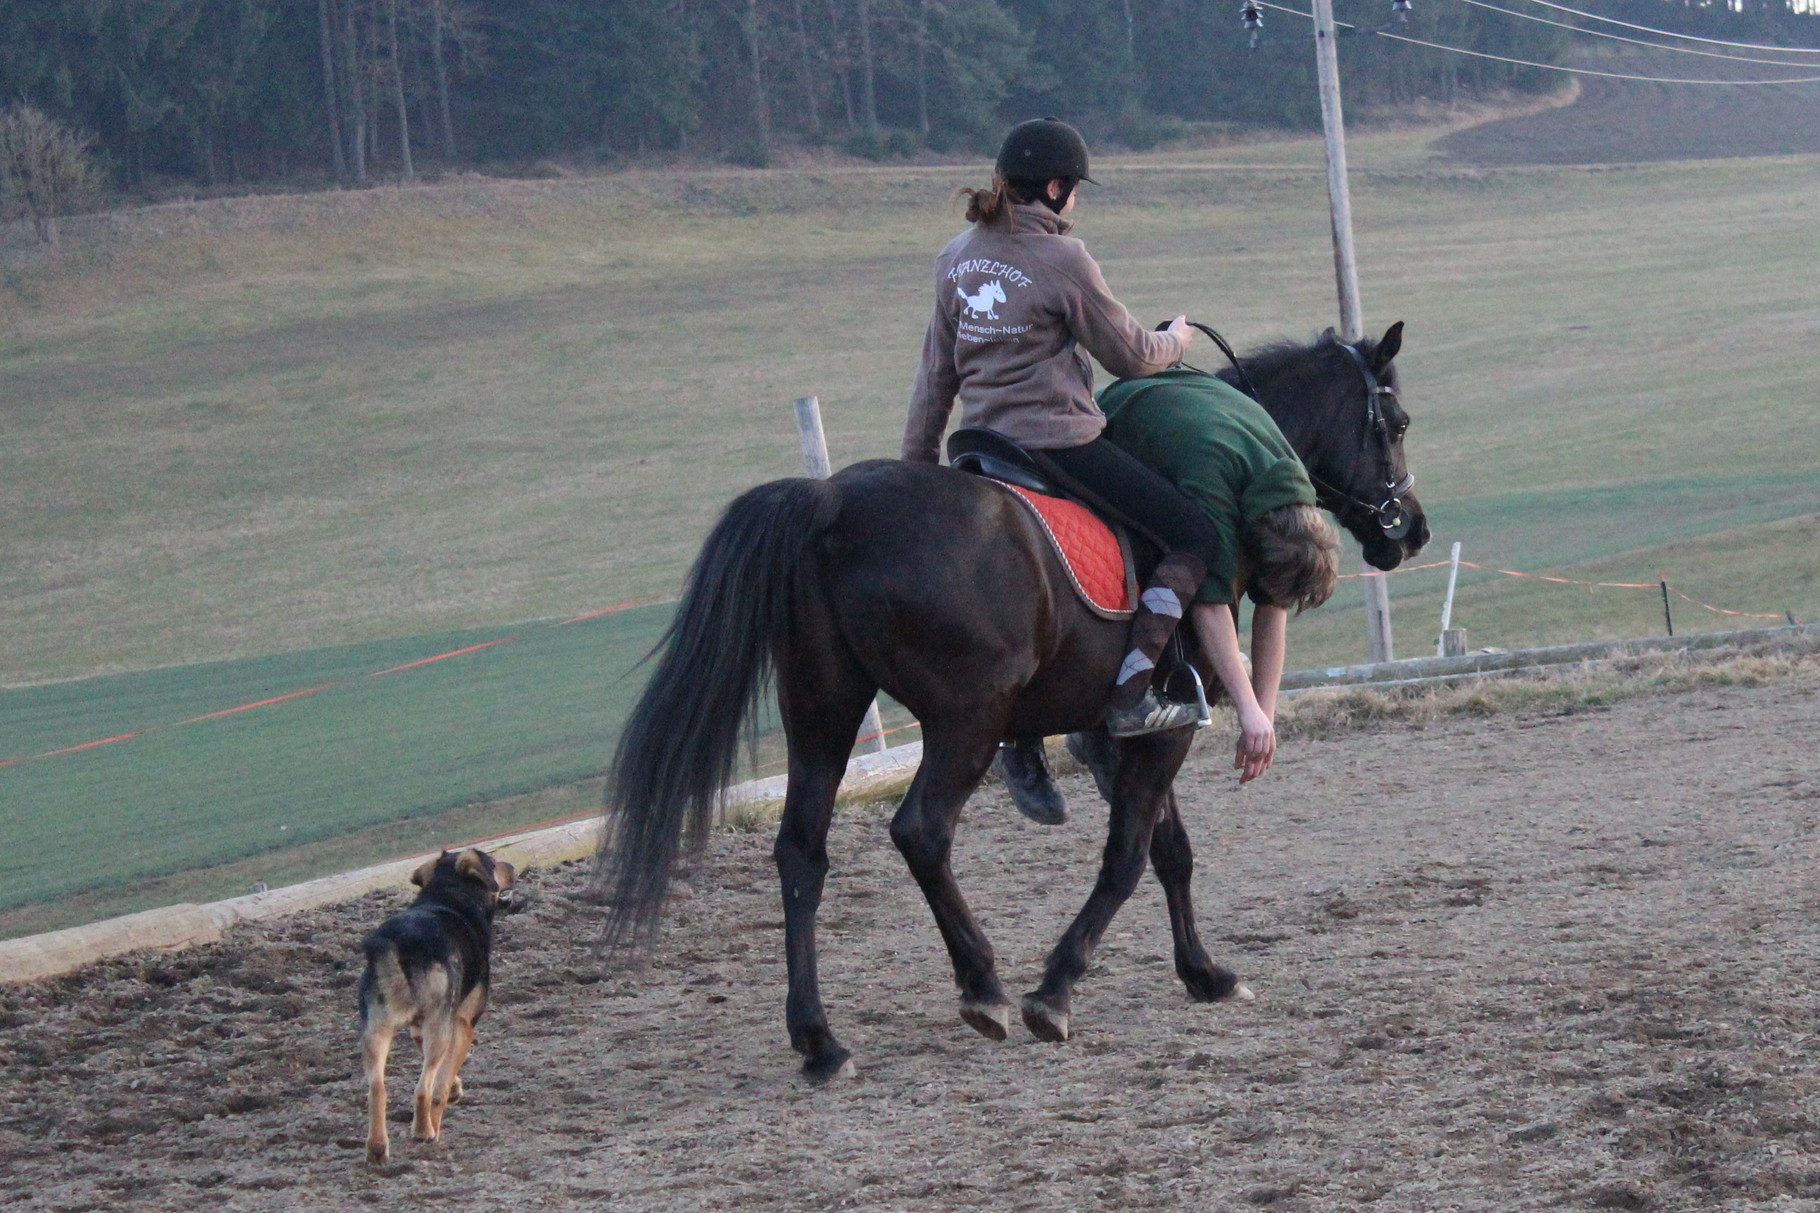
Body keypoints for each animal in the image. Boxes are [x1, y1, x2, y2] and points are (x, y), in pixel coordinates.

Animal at [358, 845, 513, 1158]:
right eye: (493, 862)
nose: (513, 868)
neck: (448, 893)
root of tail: (397, 945)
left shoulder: (420, 1030)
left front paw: (455, 1088)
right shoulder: (461, 1024)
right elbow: (441, 1083)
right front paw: (447, 1099)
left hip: (375, 1030)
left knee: (377, 1088)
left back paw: (378, 1148)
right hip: (438, 1027)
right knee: (423, 1088)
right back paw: (425, 1131)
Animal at [593, 324, 1419, 1078]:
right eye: (1399, 422)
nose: (1411, 529)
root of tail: (831, 500)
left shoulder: (1129, 733)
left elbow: (1170, 851)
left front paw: (1204, 972)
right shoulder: (1163, 731)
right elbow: (1127, 857)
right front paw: (1055, 989)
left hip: (823, 712)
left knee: (801, 850)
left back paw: (819, 1038)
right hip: (968, 718)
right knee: (922, 832)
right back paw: (981, 982)